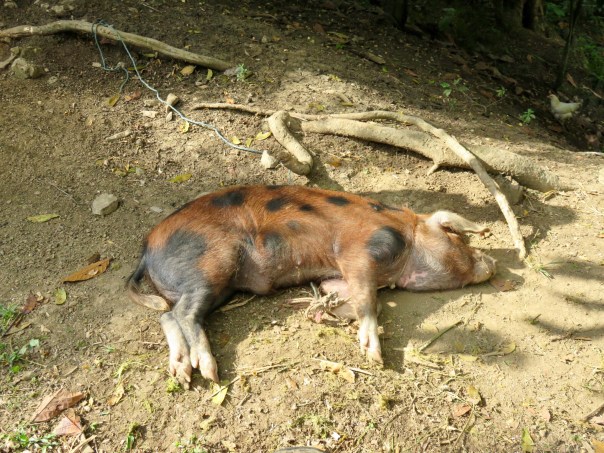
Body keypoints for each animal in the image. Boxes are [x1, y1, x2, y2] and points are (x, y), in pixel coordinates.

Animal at [126, 185, 496, 387]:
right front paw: (375, 356)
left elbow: (356, 298)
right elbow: (368, 301)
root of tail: (145, 249)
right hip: (212, 265)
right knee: (184, 314)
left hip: (218, 285)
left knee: (168, 315)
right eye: (455, 235)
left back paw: (182, 373)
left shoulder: (337, 276)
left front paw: (323, 312)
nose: (492, 262)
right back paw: (209, 371)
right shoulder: (360, 251)